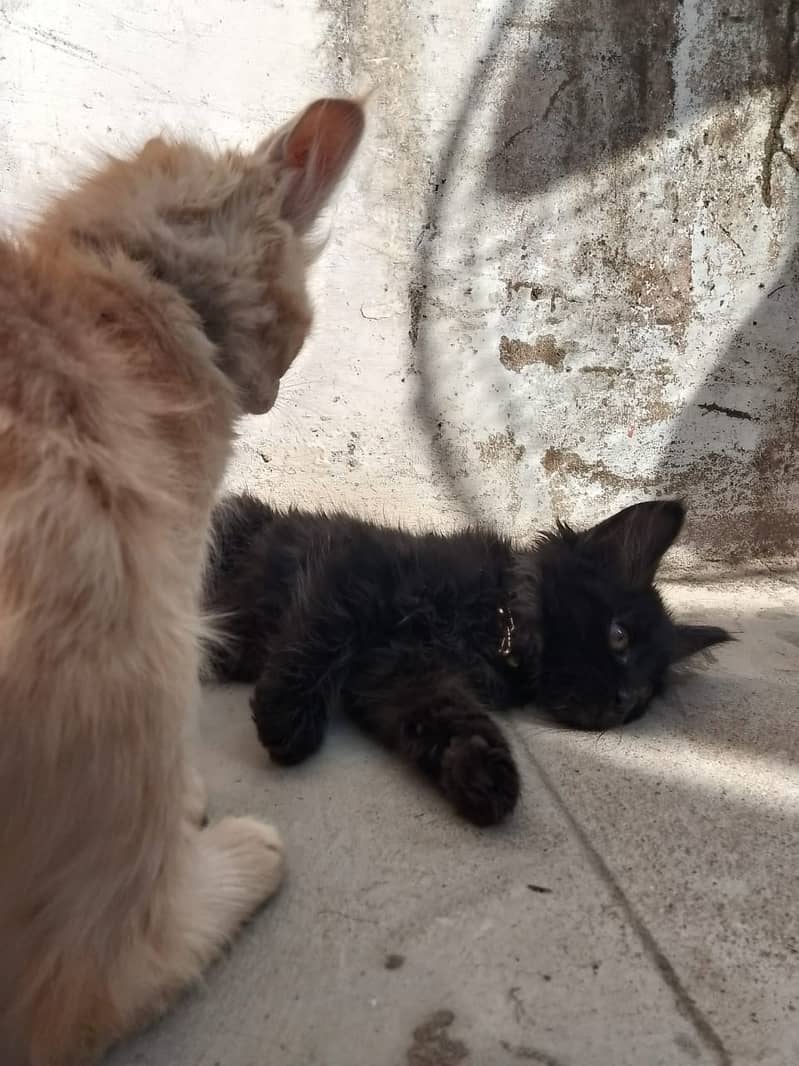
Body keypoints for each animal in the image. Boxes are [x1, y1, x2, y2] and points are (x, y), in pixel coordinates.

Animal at [0, 95, 366, 1061]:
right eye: (299, 336)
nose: (269, 397)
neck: (130, 279)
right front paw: (192, 806)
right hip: (138, 649)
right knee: (91, 991)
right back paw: (236, 862)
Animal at [204, 494, 732, 827]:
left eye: (645, 695)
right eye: (618, 636)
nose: (624, 702)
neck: (494, 623)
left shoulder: (404, 675)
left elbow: (452, 718)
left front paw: (484, 771)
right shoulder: (351, 569)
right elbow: (318, 639)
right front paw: (287, 718)